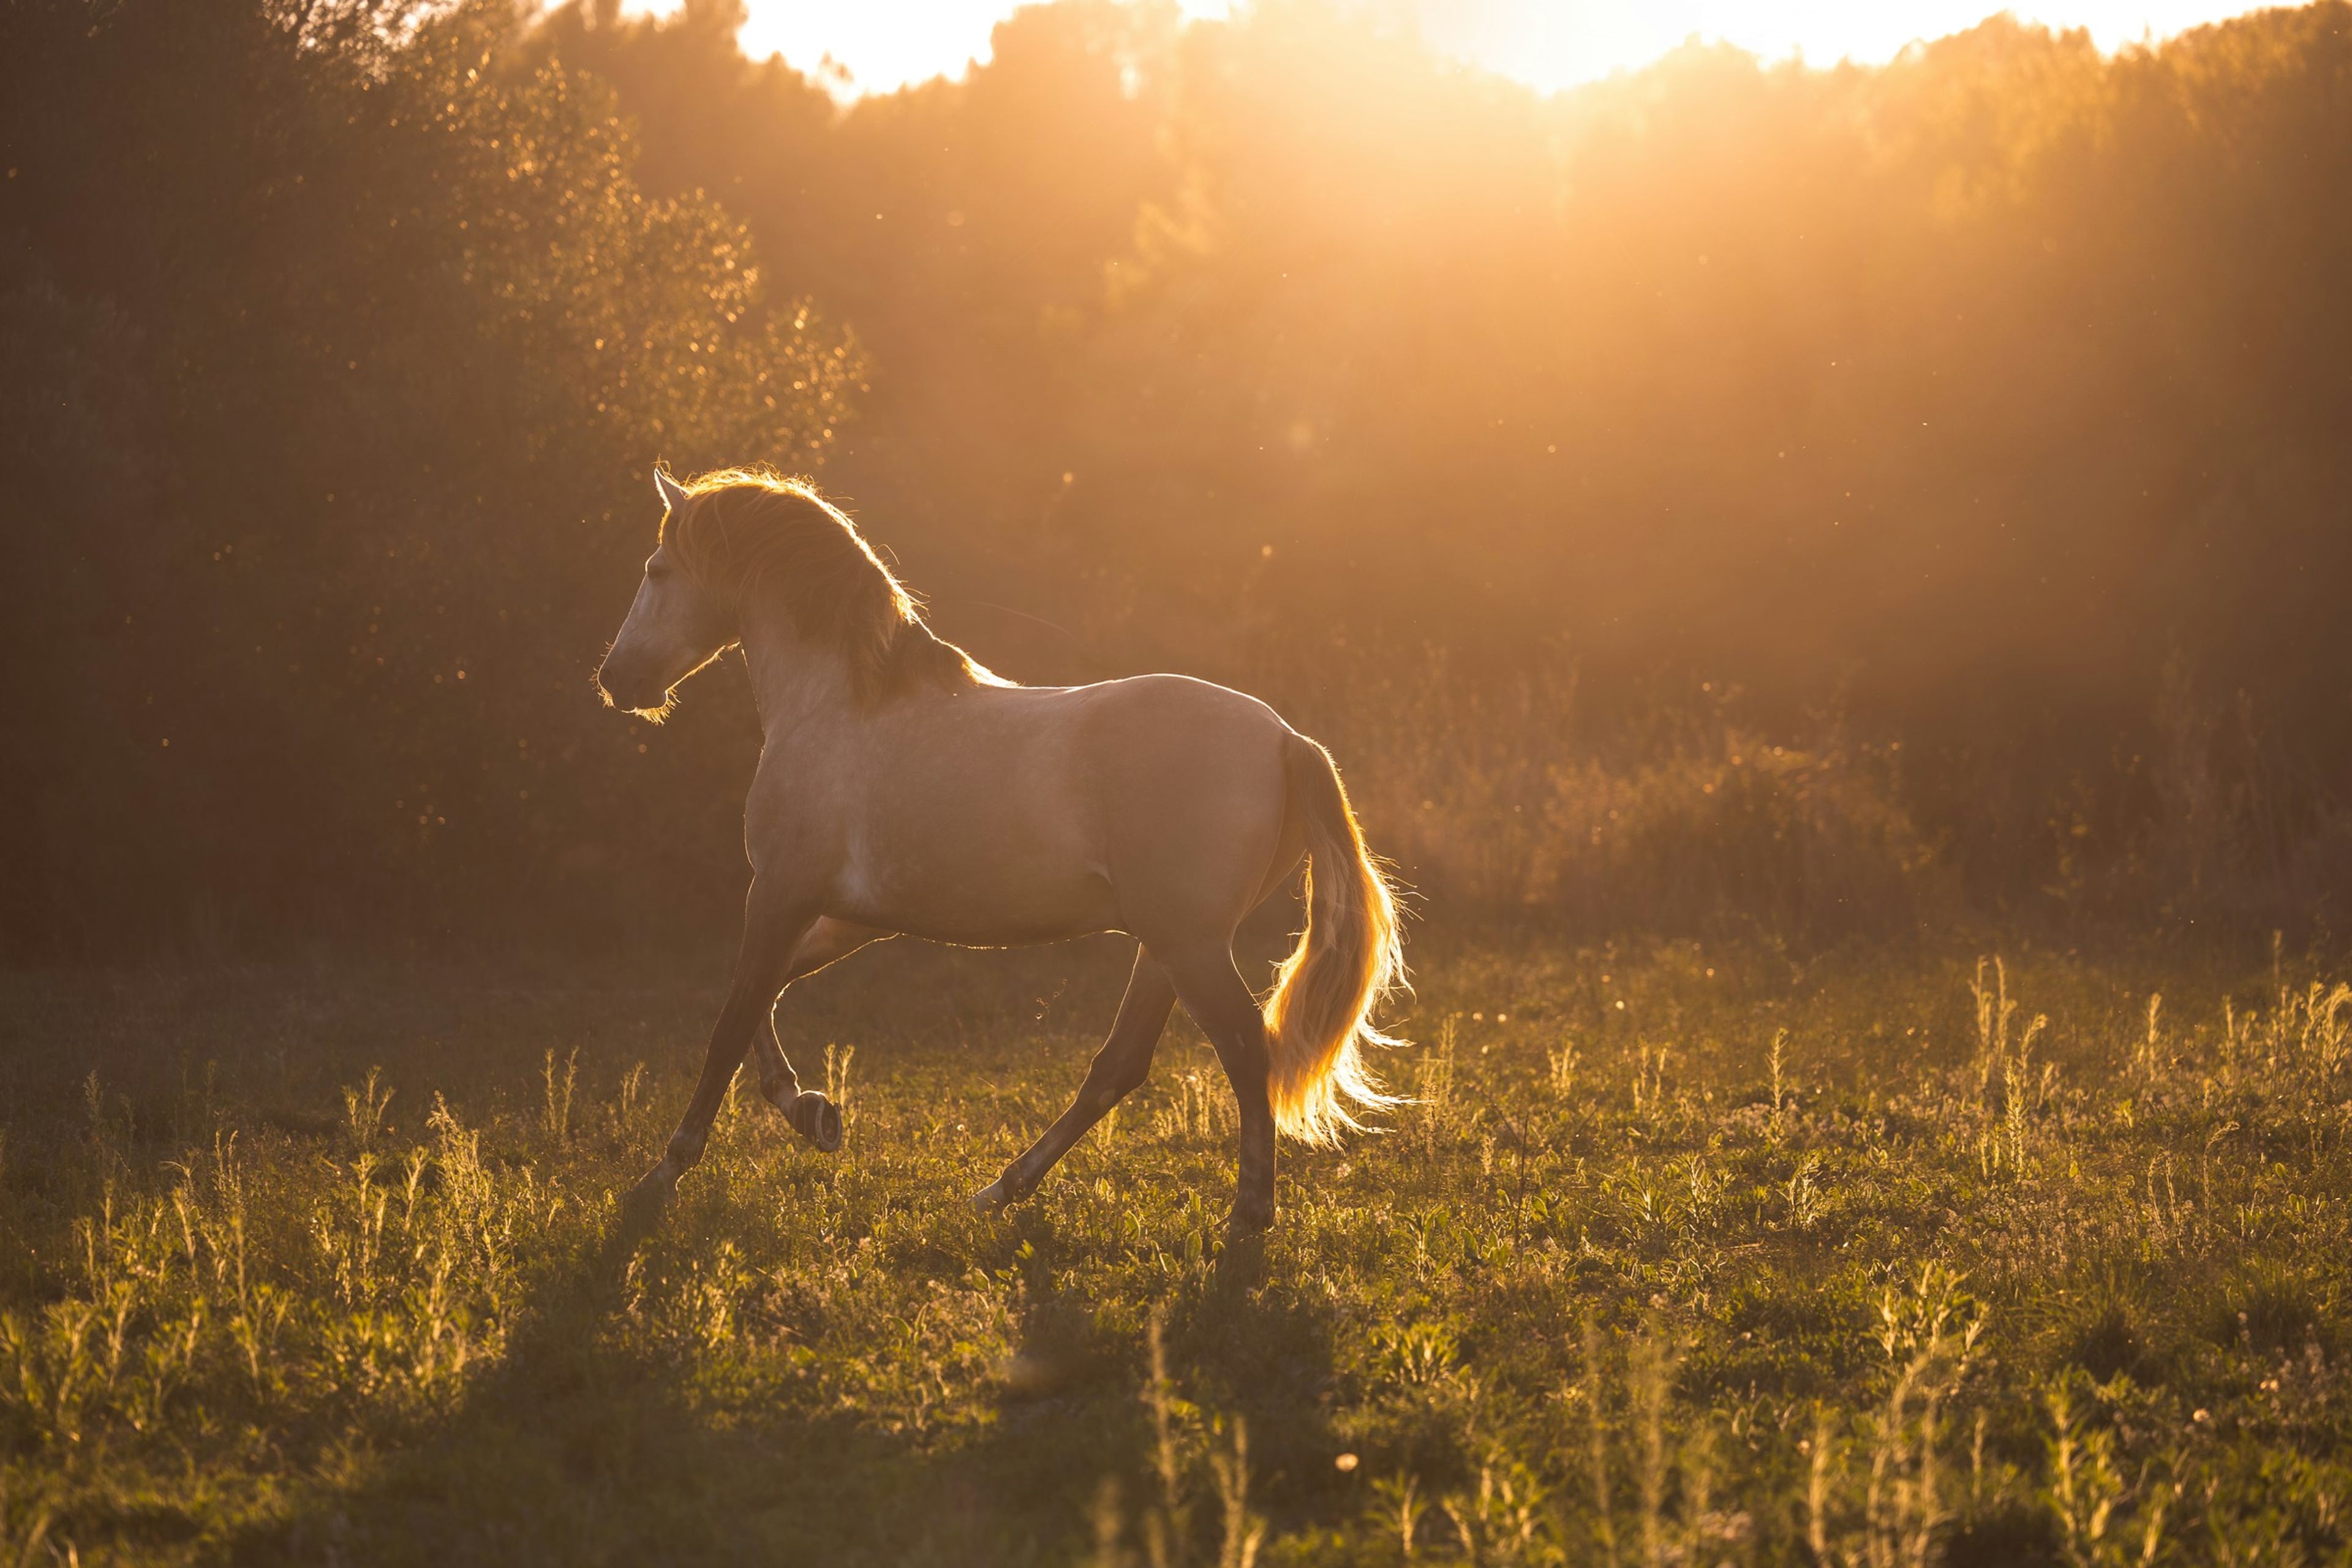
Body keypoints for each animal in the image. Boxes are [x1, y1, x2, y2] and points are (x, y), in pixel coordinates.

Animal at [593, 467, 1407, 1231]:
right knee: (1120, 1065)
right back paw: (1003, 1189)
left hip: (1191, 947)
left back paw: (1248, 1210)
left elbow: (730, 1024)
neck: (842, 706)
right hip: (1167, 946)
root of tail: (1286, 740)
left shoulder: (780, 892)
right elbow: (760, 997)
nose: (616, 680)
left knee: (1243, 1049)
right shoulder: (847, 916)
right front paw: (813, 1112)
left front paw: (662, 1175)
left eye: (656, 569)